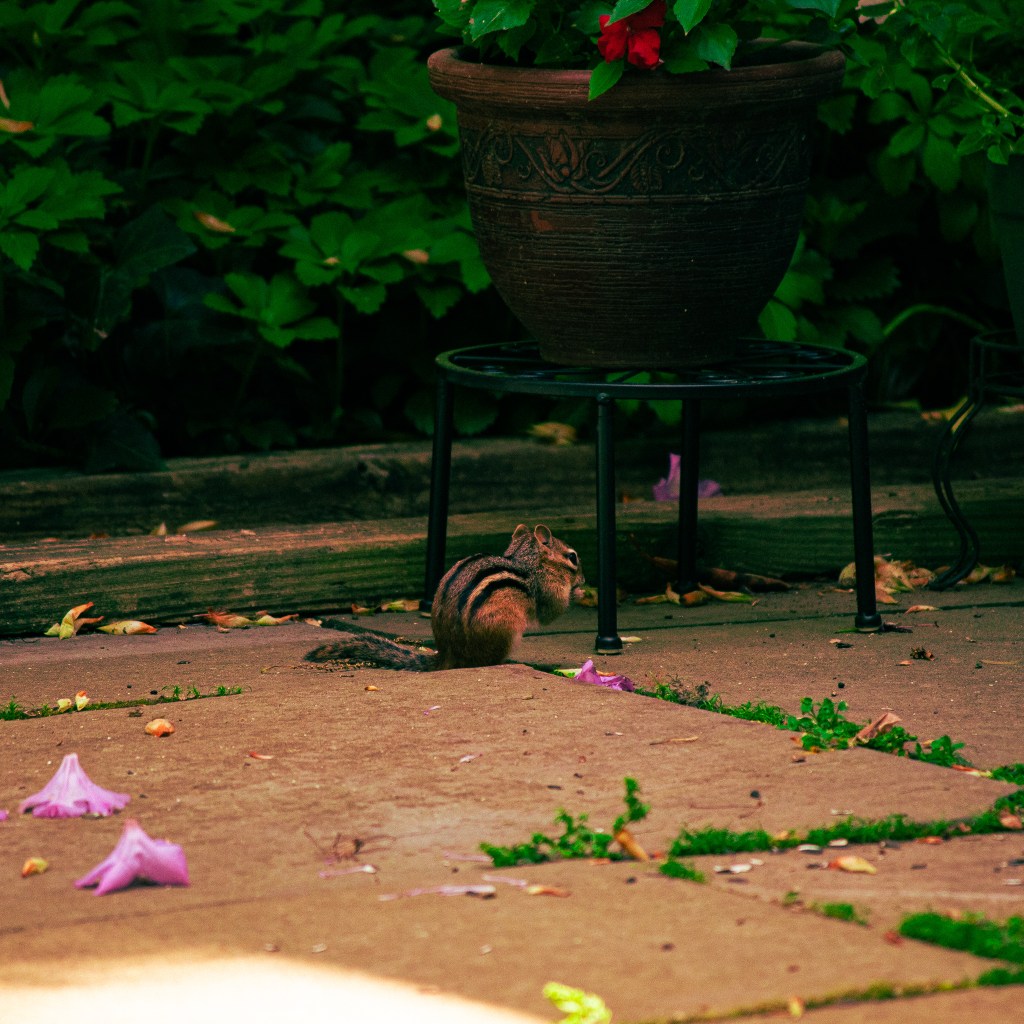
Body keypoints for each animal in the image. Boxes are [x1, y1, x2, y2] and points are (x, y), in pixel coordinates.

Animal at [304, 524, 585, 671]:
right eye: (572, 557)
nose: (583, 579)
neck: (527, 562)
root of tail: (448, 652)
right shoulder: (546, 588)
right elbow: (551, 612)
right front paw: (579, 592)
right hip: (505, 627)